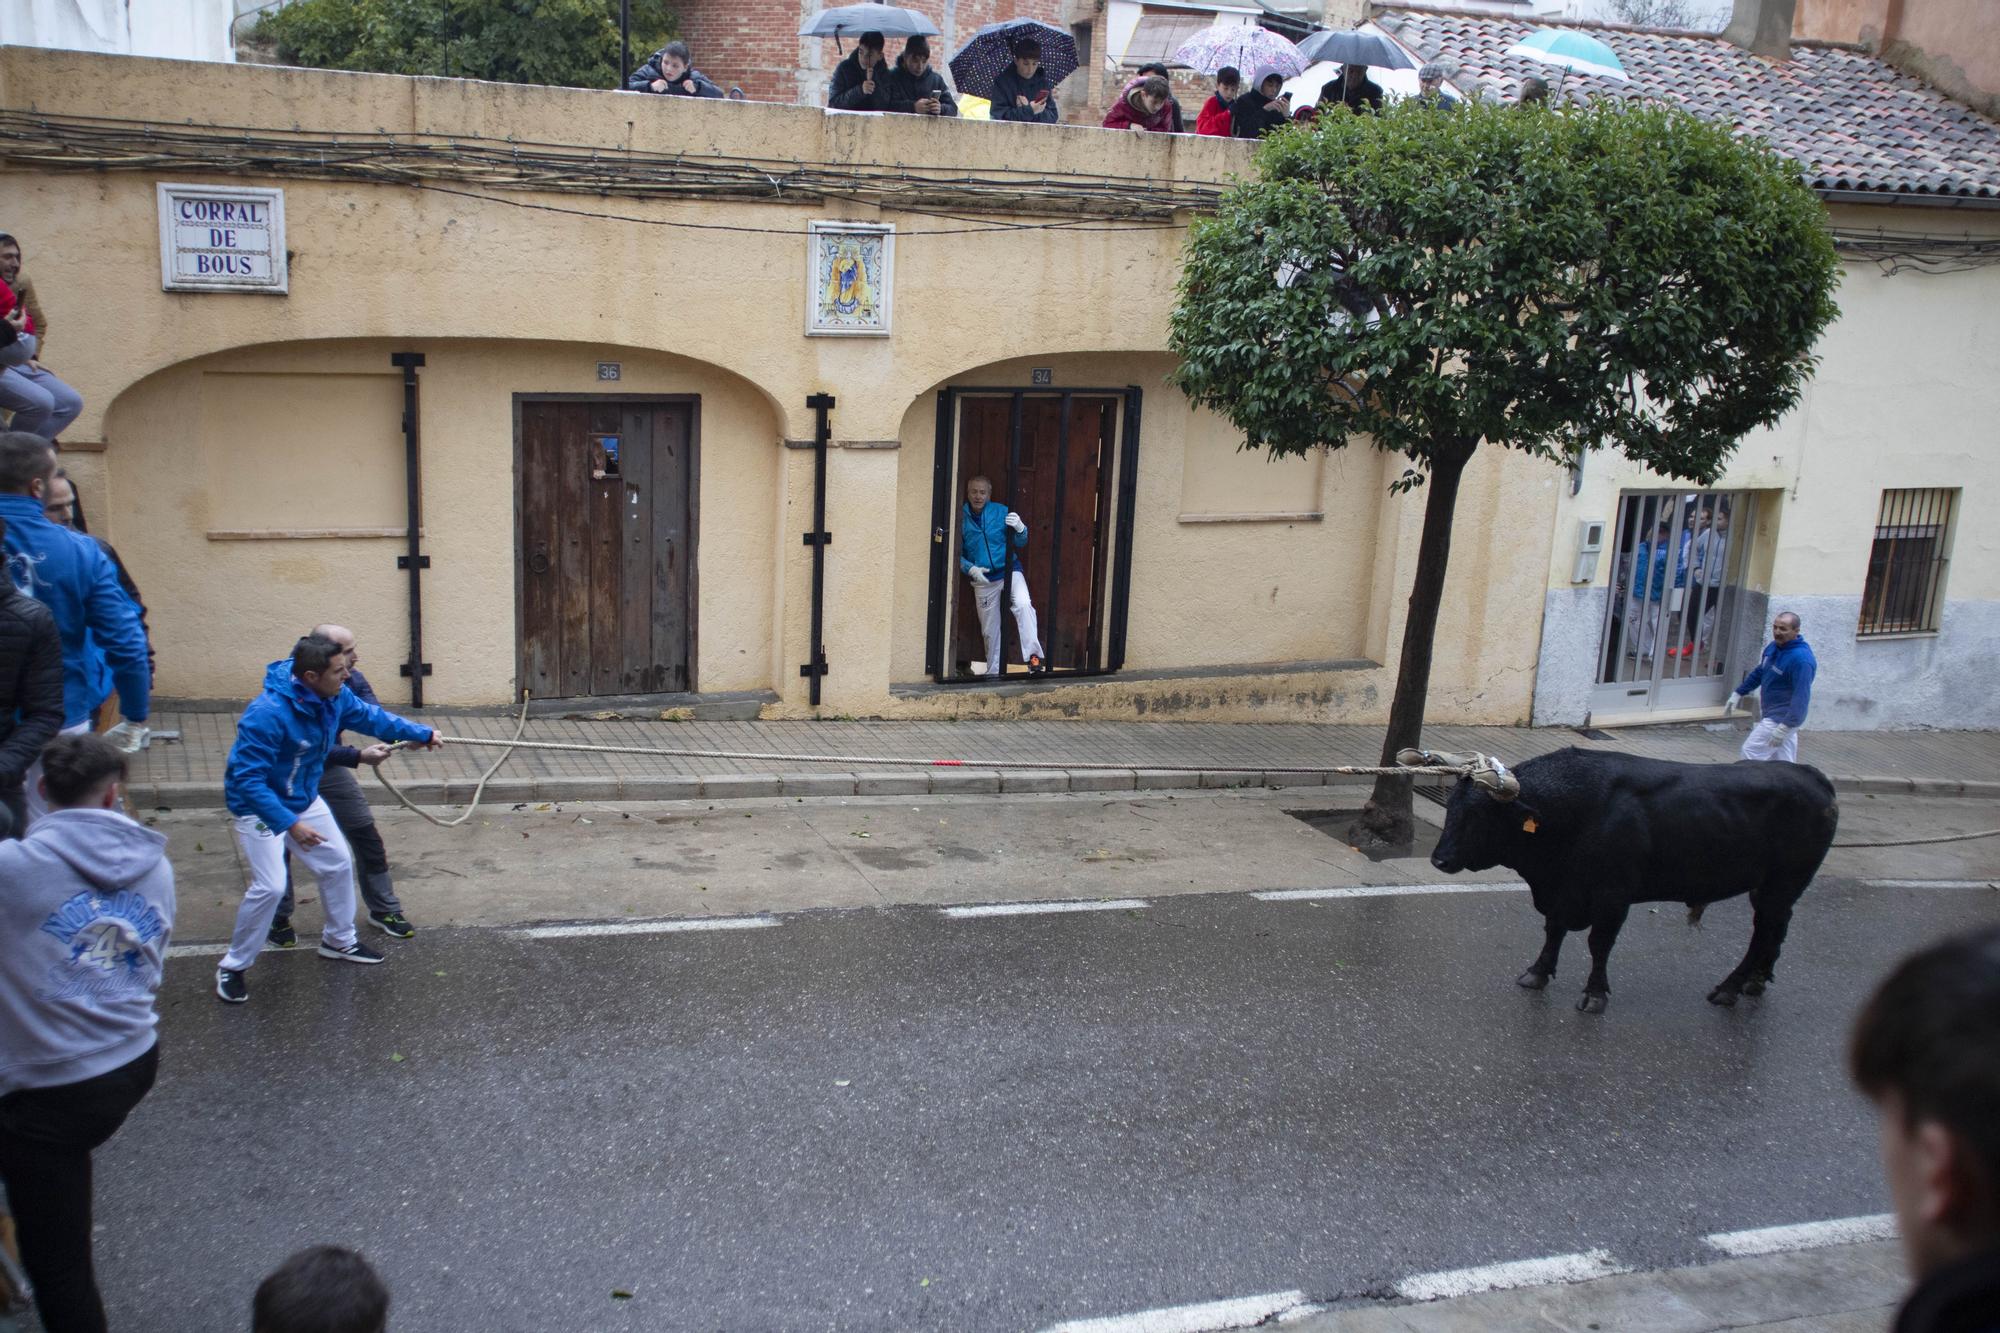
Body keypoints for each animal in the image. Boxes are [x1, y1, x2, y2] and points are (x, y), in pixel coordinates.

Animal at [1432, 748, 1832, 1008]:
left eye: (1478, 816)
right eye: (1450, 808)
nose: (1439, 859)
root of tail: (1815, 778)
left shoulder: (1613, 896)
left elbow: (1599, 943)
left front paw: (1594, 993)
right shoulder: (1563, 890)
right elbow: (1554, 930)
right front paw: (1538, 972)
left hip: (1782, 885)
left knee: (1763, 933)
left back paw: (1730, 988)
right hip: (1772, 890)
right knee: (1775, 930)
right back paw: (1755, 981)